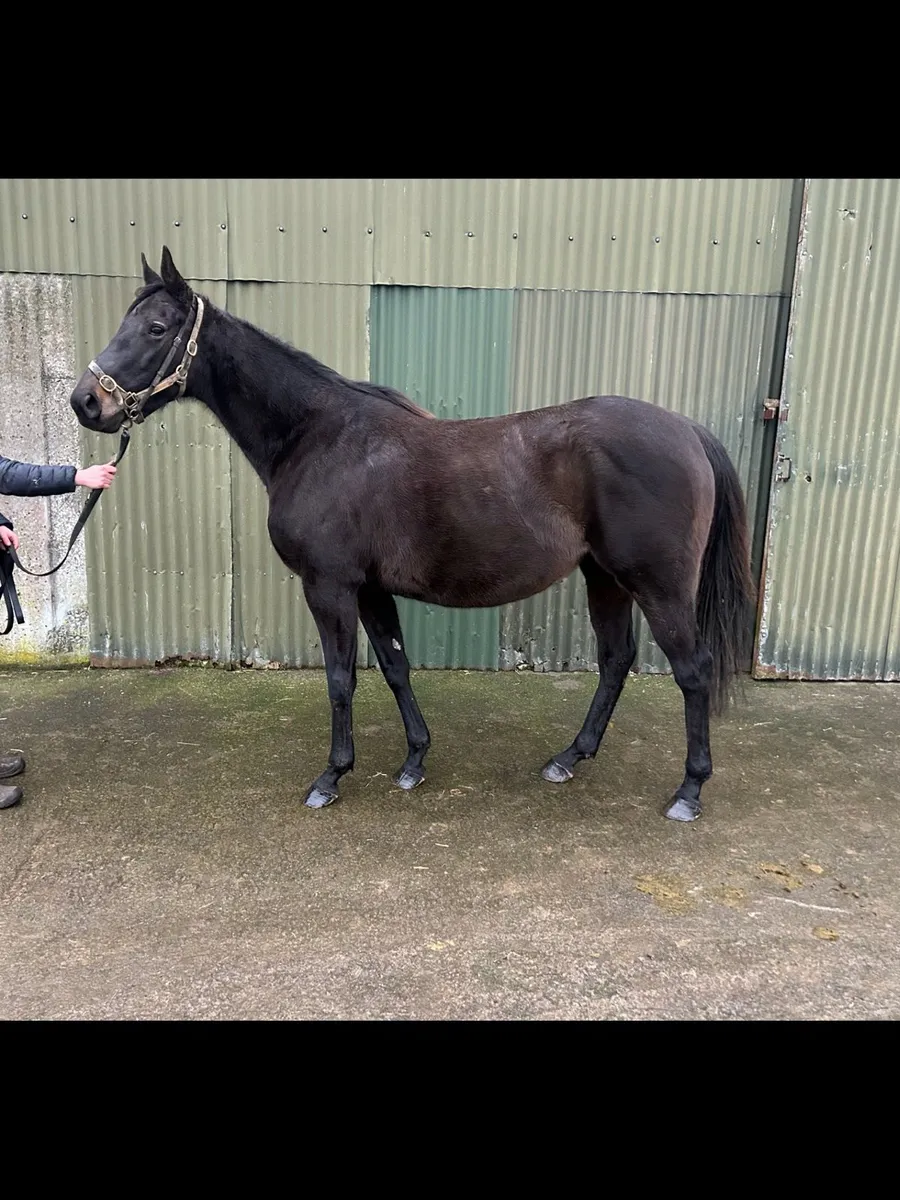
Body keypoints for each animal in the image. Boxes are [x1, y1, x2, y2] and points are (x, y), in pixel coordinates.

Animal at [69, 247, 754, 822]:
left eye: (157, 328)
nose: (86, 403)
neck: (317, 437)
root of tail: (687, 430)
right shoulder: (371, 589)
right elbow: (396, 667)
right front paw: (414, 761)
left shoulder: (330, 587)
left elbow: (341, 680)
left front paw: (331, 777)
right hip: (604, 576)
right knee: (615, 660)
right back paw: (568, 759)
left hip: (657, 586)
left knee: (692, 670)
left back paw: (689, 791)